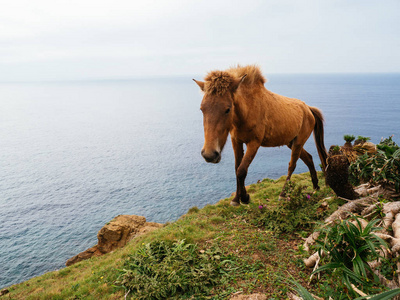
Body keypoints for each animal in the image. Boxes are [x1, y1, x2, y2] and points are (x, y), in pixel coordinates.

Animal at [194, 64, 328, 206]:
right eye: (202, 109)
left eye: (227, 109)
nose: (209, 155)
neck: (248, 110)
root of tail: (308, 109)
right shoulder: (236, 141)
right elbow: (237, 168)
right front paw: (237, 198)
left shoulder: (254, 143)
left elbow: (242, 170)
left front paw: (244, 198)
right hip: (291, 142)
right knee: (309, 158)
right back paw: (316, 186)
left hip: (298, 142)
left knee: (292, 165)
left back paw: (283, 194)